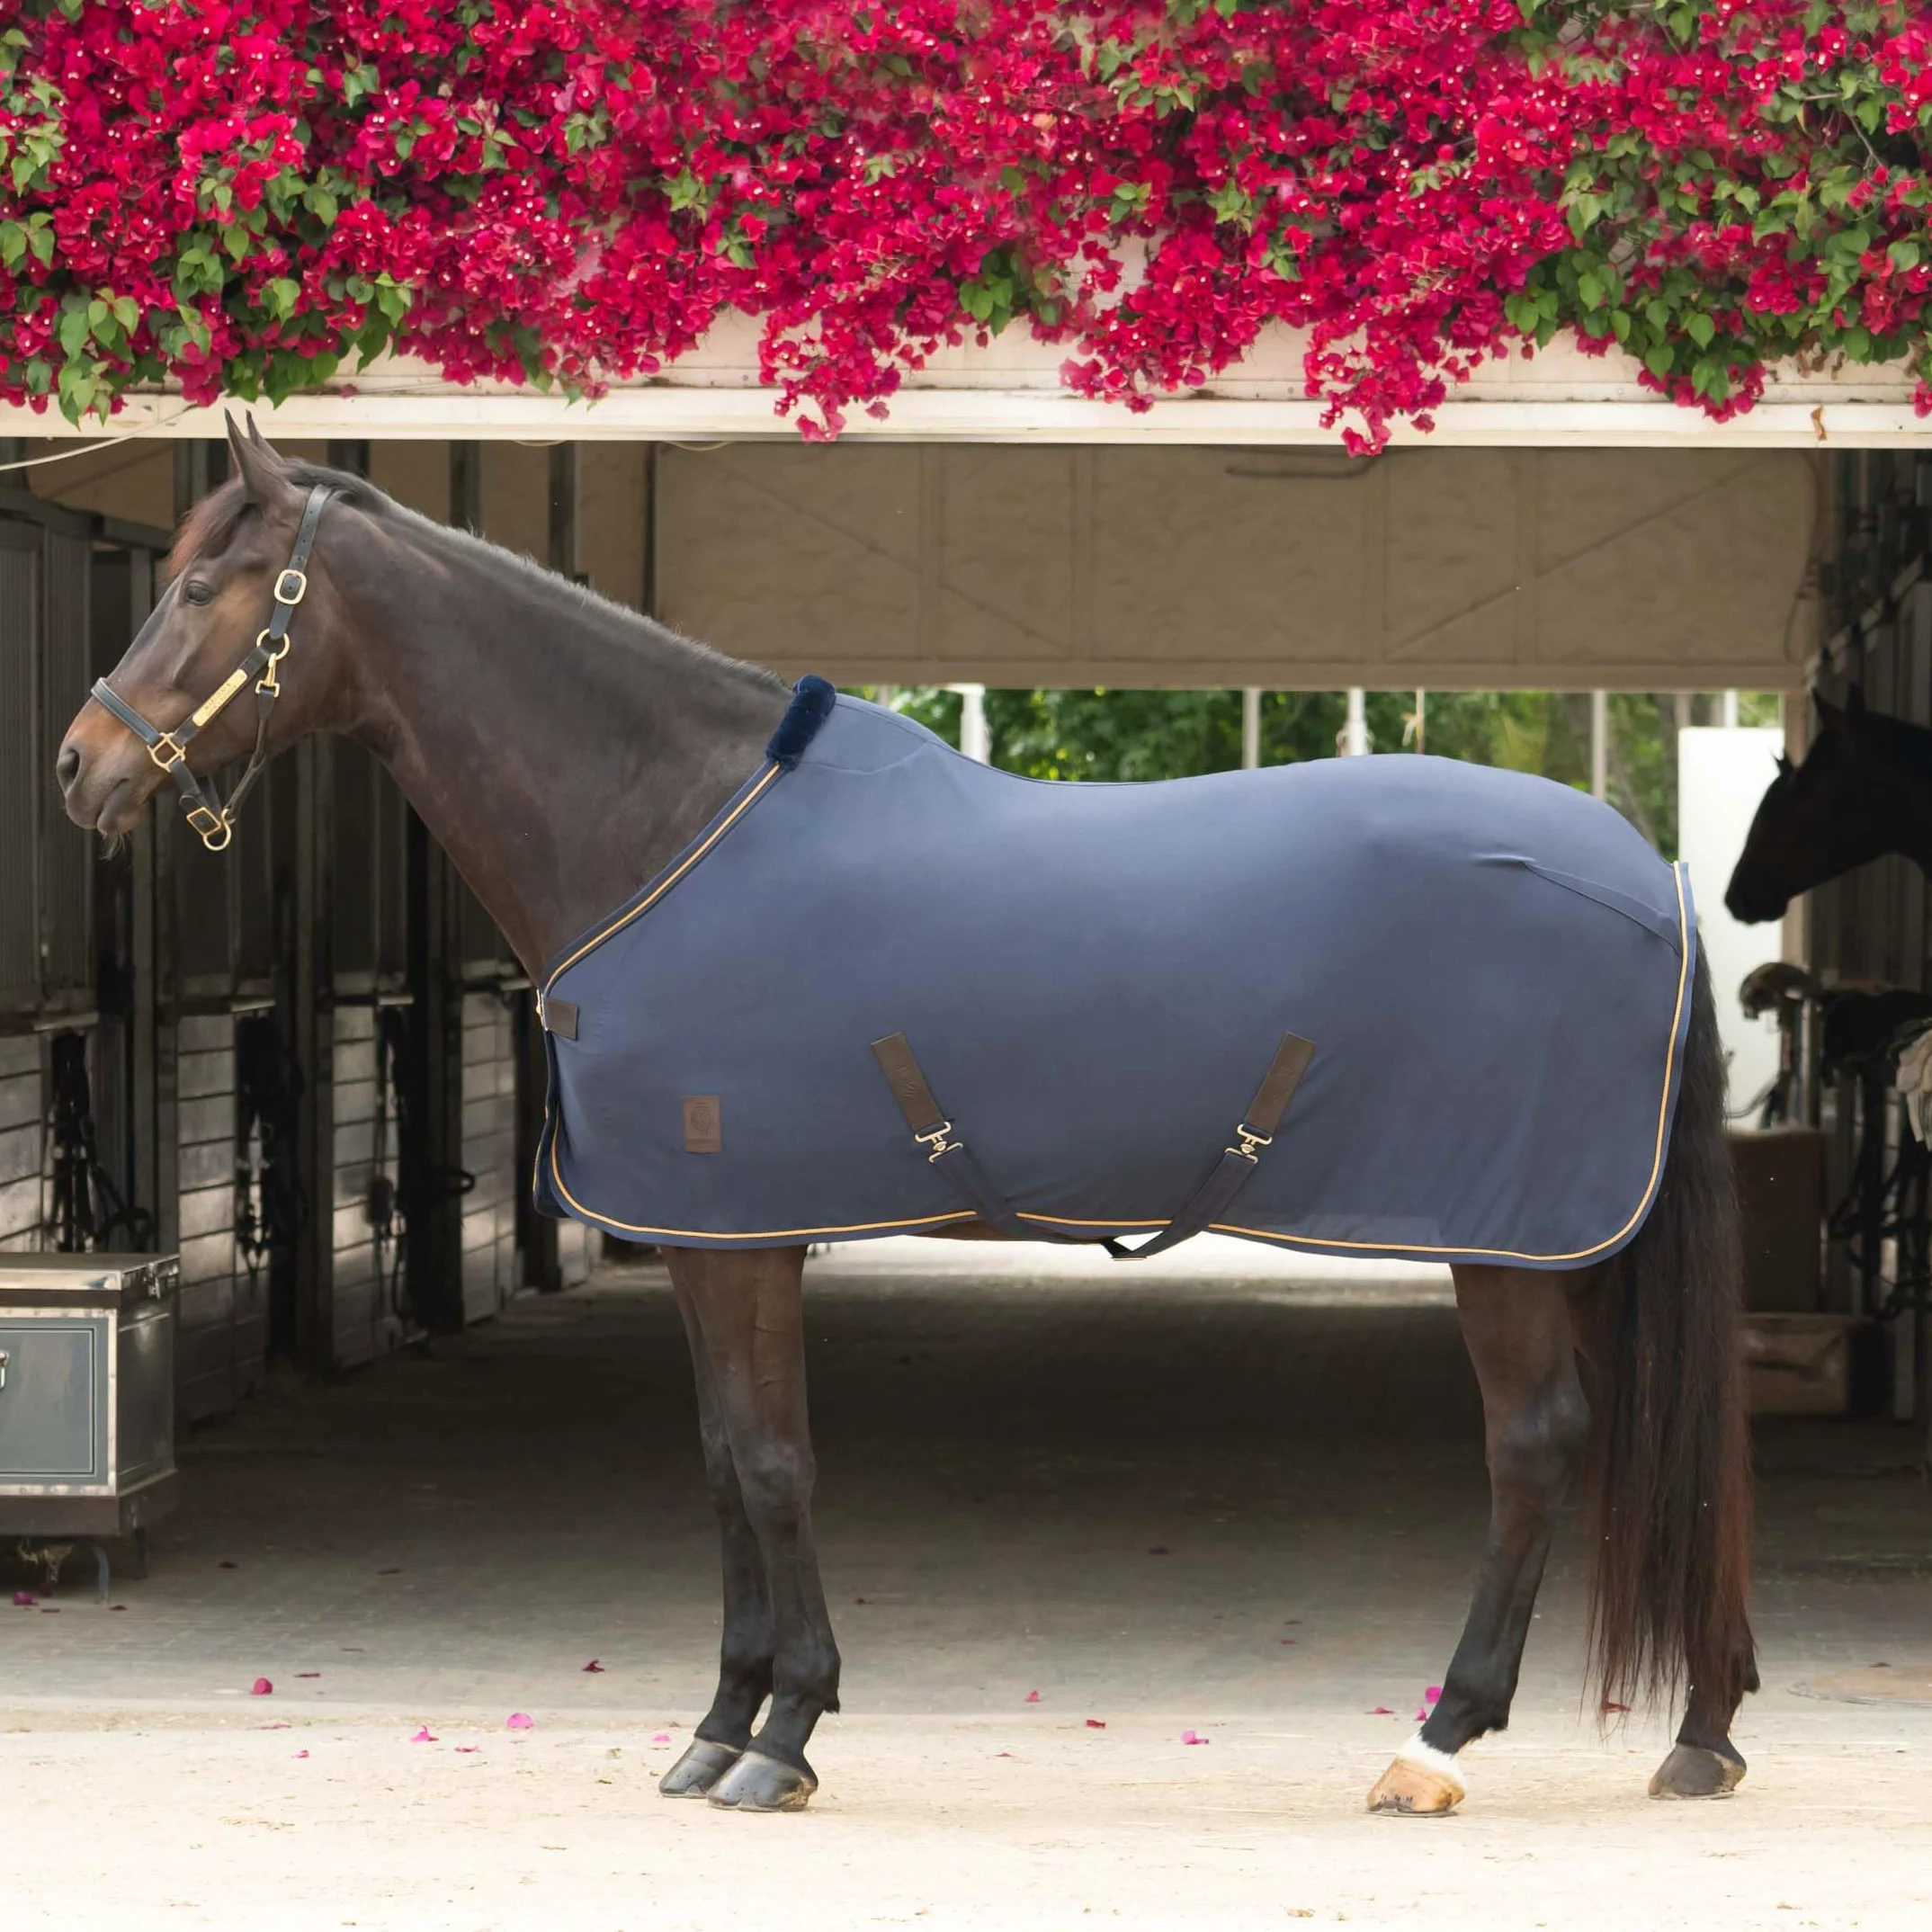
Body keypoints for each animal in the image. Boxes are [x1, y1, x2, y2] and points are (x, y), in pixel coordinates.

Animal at [56, 421, 1756, 1816]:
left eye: (204, 585)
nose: (78, 767)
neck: (667, 828)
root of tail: (1646, 876)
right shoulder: (700, 1237)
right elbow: (721, 1463)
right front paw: (720, 1723)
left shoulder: (743, 1235)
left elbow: (769, 1461)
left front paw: (782, 1733)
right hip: (1561, 1246)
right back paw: (1705, 1727)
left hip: (1510, 1245)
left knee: (1536, 1449)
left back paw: (1441, 1738)